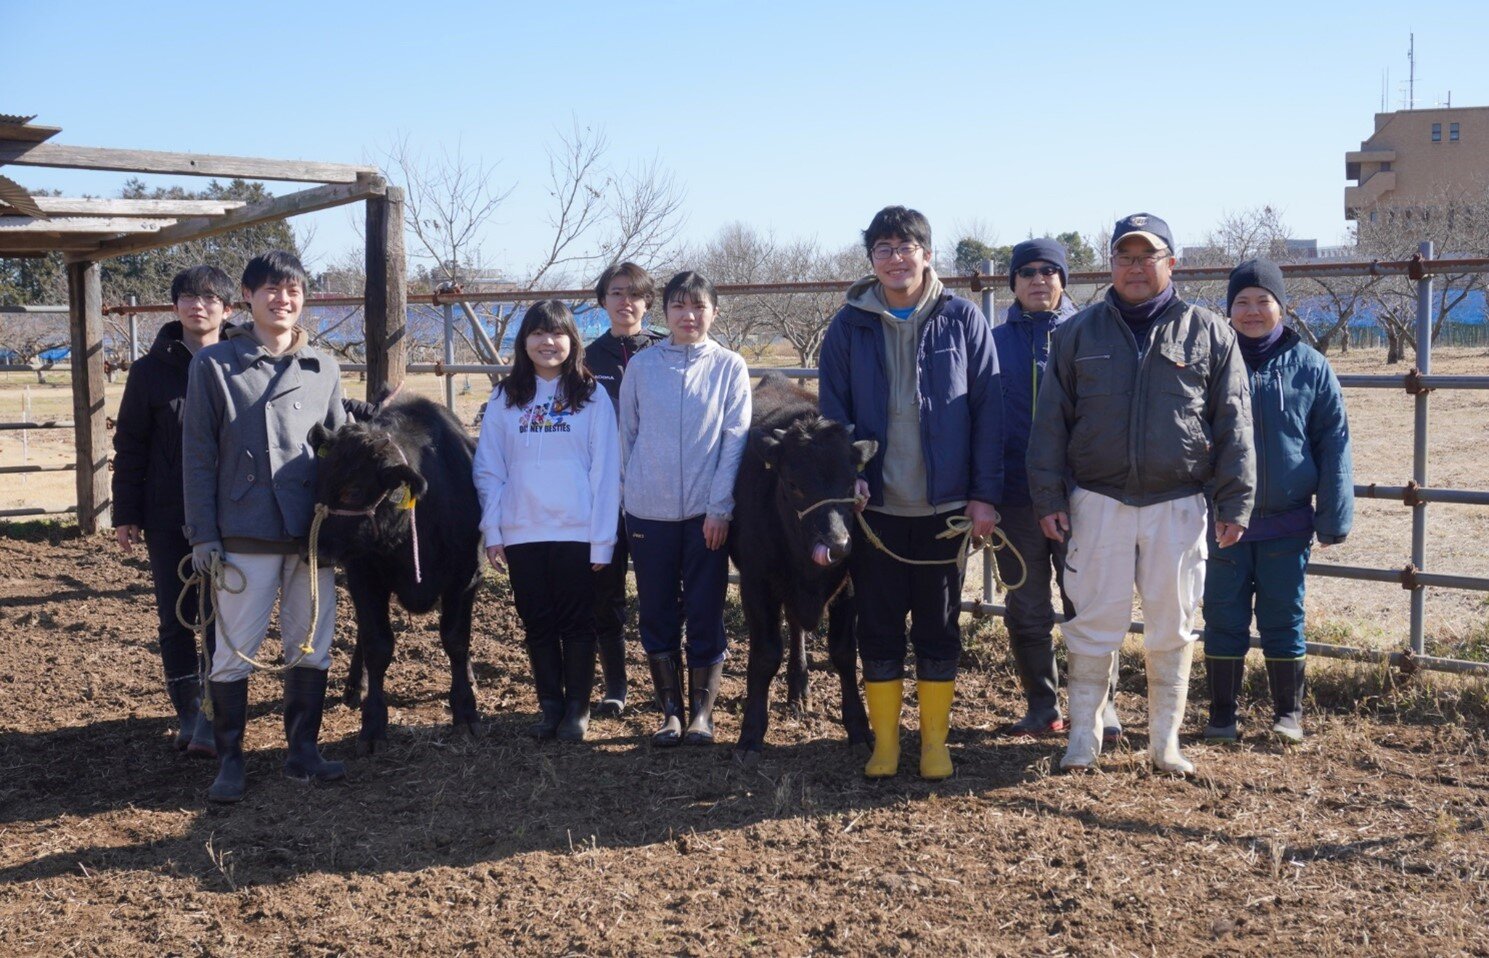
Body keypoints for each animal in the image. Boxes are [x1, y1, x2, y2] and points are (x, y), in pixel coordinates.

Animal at [308, 396, 482, 750]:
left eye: (353, 491)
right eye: (317, 482)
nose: (313, 550)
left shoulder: (464, 578)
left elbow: (456, 640)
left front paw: (466, 709)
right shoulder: (364, 577)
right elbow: (377, 645)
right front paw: (373, 722)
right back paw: (354, 687)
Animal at [729, 375, 875, 762]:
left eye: (850, 482)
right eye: (793, 484)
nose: (838, 544)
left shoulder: (849, 587)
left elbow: (844, 653)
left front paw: (859, 726)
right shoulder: (756, 583)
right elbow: (765, 655)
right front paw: (751, 731)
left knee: (797, 629)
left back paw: (800, 690)